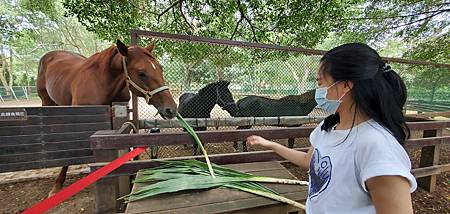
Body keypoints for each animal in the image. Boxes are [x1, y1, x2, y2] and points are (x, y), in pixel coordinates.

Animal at [37, 39, 178, 196]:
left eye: (160, 68)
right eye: (141, 73)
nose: (171, 109)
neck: (101, 81)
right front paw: (57, 185)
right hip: (47, 102)